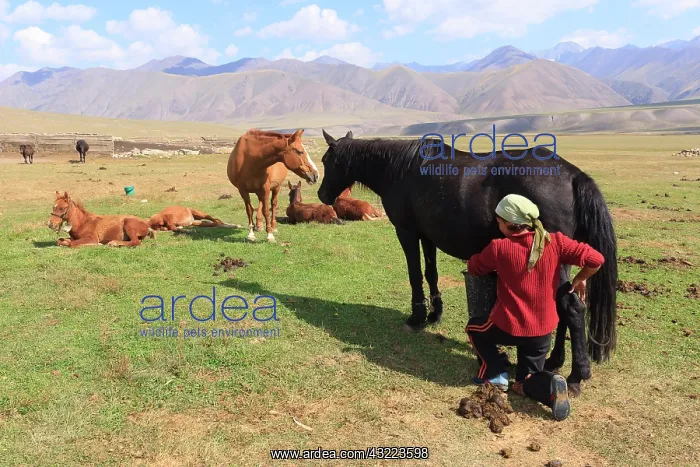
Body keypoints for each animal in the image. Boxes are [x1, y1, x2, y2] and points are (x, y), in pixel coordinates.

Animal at [316, 130, 618, 396]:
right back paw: (555, 361)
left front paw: (416, 318)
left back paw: (577, 375)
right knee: (565, 305)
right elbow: (431, 273)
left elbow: (415, 274)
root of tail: (573, 175)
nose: (321, 195)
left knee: (572, 308)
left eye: (327, 160)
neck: (400, 171)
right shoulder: (427, 236)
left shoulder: (407, 232)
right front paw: (434, 314)